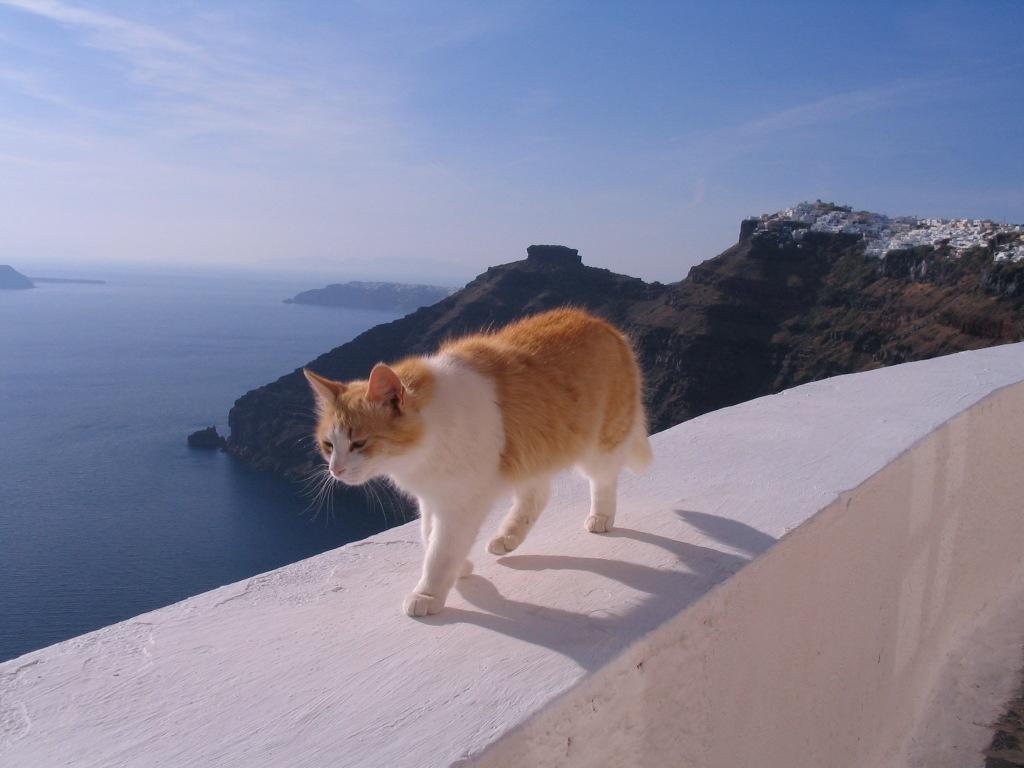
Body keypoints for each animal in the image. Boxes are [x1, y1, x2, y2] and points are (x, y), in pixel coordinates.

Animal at [303, 307, 653, 617]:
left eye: (359, 443)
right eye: (328, 445)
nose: (336, 470)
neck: (430, 433)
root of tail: (604, 325)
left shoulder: (460, 504)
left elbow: (441, 551)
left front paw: (428, 593)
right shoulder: (432, 498)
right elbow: (429, 536)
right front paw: (460, 567)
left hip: (599, 444)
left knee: (603, 481)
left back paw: (600, 517)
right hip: (532, 454)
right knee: (537, 495)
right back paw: (508, 537)